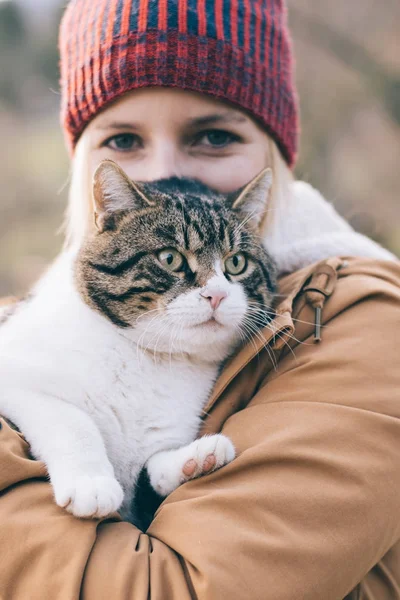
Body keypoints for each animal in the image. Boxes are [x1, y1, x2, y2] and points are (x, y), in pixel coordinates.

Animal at [0, 162, 276, 524]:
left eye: (237, 262)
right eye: (170, 258)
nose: (216, 295)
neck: (149, 357)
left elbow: (152, 467)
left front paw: (196, 459)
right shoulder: (15, 376)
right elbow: (73, 420)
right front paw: (92, 485)